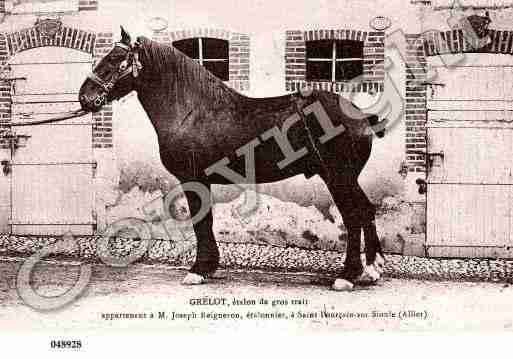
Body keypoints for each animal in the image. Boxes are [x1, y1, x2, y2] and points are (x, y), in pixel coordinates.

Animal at [79, 28, 384, 292]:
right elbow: (206, 221)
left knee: (354, 216)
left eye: (114, 60)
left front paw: (198, 270)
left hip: (338, 177)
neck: (191, 111)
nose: (84, 97)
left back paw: (347, 276)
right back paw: (372, 270)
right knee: (366, 211)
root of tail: (361, 116)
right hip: (347, 178)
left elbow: (202, 222)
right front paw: (208, 267)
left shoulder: (193, 179)